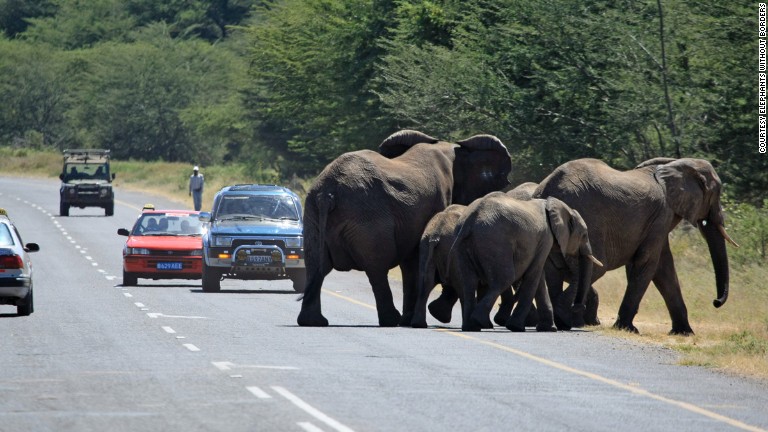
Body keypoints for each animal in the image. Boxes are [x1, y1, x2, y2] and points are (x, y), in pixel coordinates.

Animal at [296, 130, 512, 326]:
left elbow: (411, 263)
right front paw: (422, 317)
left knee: (316, 264)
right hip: (368, 219)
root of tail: (328, 193)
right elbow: (419, 260)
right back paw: (391, 320)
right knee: (377, 267)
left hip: (313, 216)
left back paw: (313, 321)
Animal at [450, 192, 600, 330]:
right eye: (584, 235)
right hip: (495, 242)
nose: (578, 306)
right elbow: (534, 273)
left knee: (469, 282)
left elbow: (539, 278)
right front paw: (516, 327)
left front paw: (548, 329)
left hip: (465, 245)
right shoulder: (546, 238)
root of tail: (469, 221)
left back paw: (471, 327)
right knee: (504, 279)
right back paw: (479, 321)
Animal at [536, 157, 736, 336]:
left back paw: (559, 321)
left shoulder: (657, 220)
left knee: (554, 272)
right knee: (595, 269)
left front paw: (684, 333)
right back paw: (564, 319)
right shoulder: (661, 215)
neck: (676, 163)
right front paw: (627, 329)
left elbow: (664, 269)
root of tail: (546, 190)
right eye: (717, 194)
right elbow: (648, 263)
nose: (716, 301)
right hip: (586, 220)